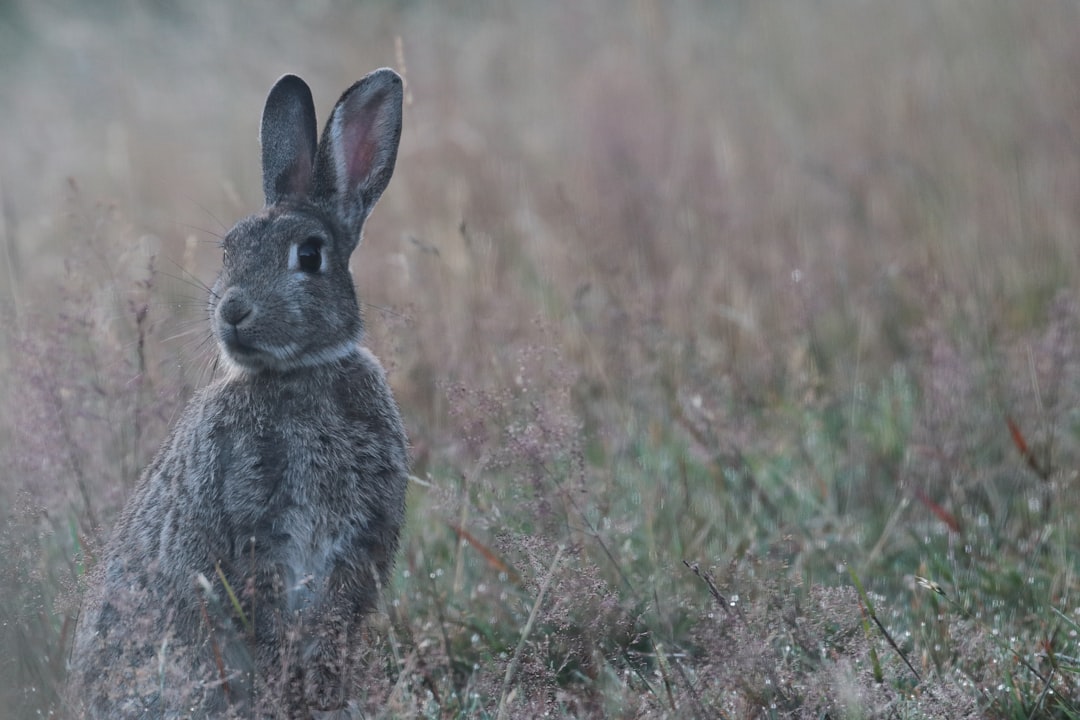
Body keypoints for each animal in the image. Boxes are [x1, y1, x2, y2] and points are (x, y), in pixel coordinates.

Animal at [65, 69, 408, 720]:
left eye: (309, 254)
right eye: (228, 248)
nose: (231, 312)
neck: (299, 373)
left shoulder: (352, 550)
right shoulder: (253, 537)